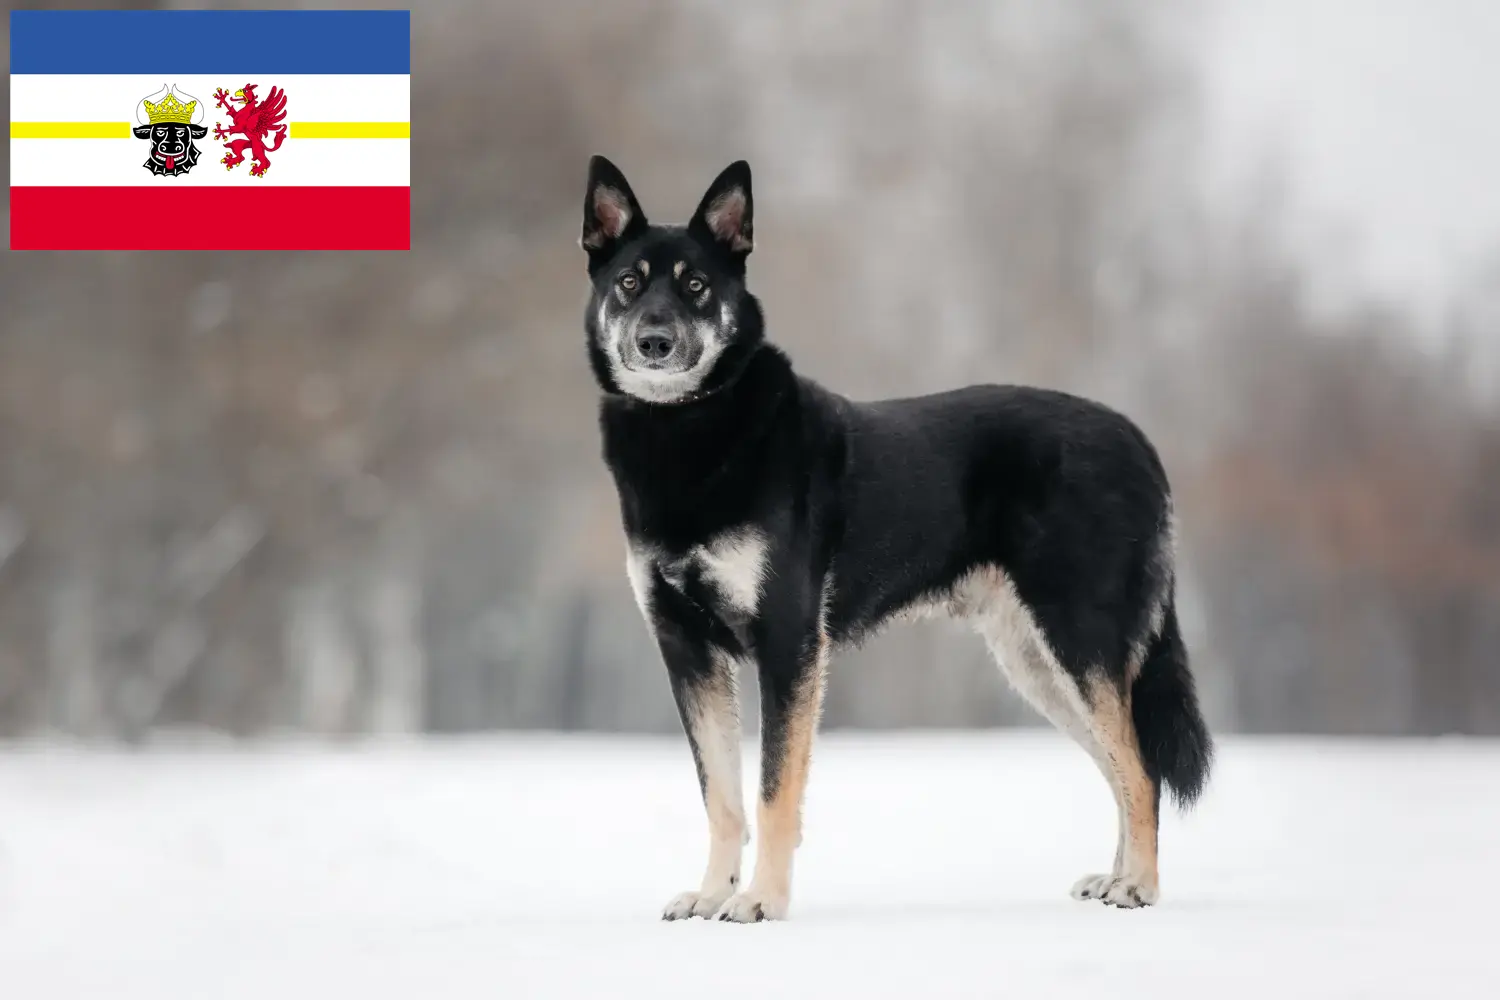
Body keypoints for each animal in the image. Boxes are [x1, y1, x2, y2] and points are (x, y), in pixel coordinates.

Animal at [579, 154, 1212, 923]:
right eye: (629, 283)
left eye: (696, 285)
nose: (654, 342)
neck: (691, 430)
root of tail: (1137, 441)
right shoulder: (688, 652)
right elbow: (722, 797)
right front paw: (711, 894)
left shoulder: (789, 643)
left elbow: (772, 793)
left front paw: (761, 901)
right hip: (1039, 662)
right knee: (1120, 768)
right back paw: (1114, 877)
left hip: (1079, 642)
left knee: (1141, 770)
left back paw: (1139, 885)